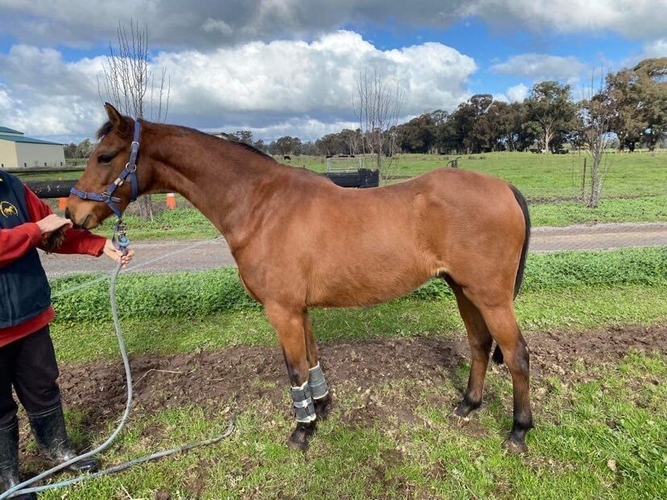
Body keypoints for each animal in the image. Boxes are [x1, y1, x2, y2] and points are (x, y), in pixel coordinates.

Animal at [66, 103, 533, 453]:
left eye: (105, 155)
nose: (73, 213)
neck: (262, 206)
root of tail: (505, 187)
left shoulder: (282, 311)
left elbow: (294, 370)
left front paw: (302, 429)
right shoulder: (300, 310)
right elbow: (311, 360)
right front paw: (322, 409)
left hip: (491, 297)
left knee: (517, 356)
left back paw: (518, 431)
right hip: (465, 291)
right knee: (479, 344)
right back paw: (468, 405)